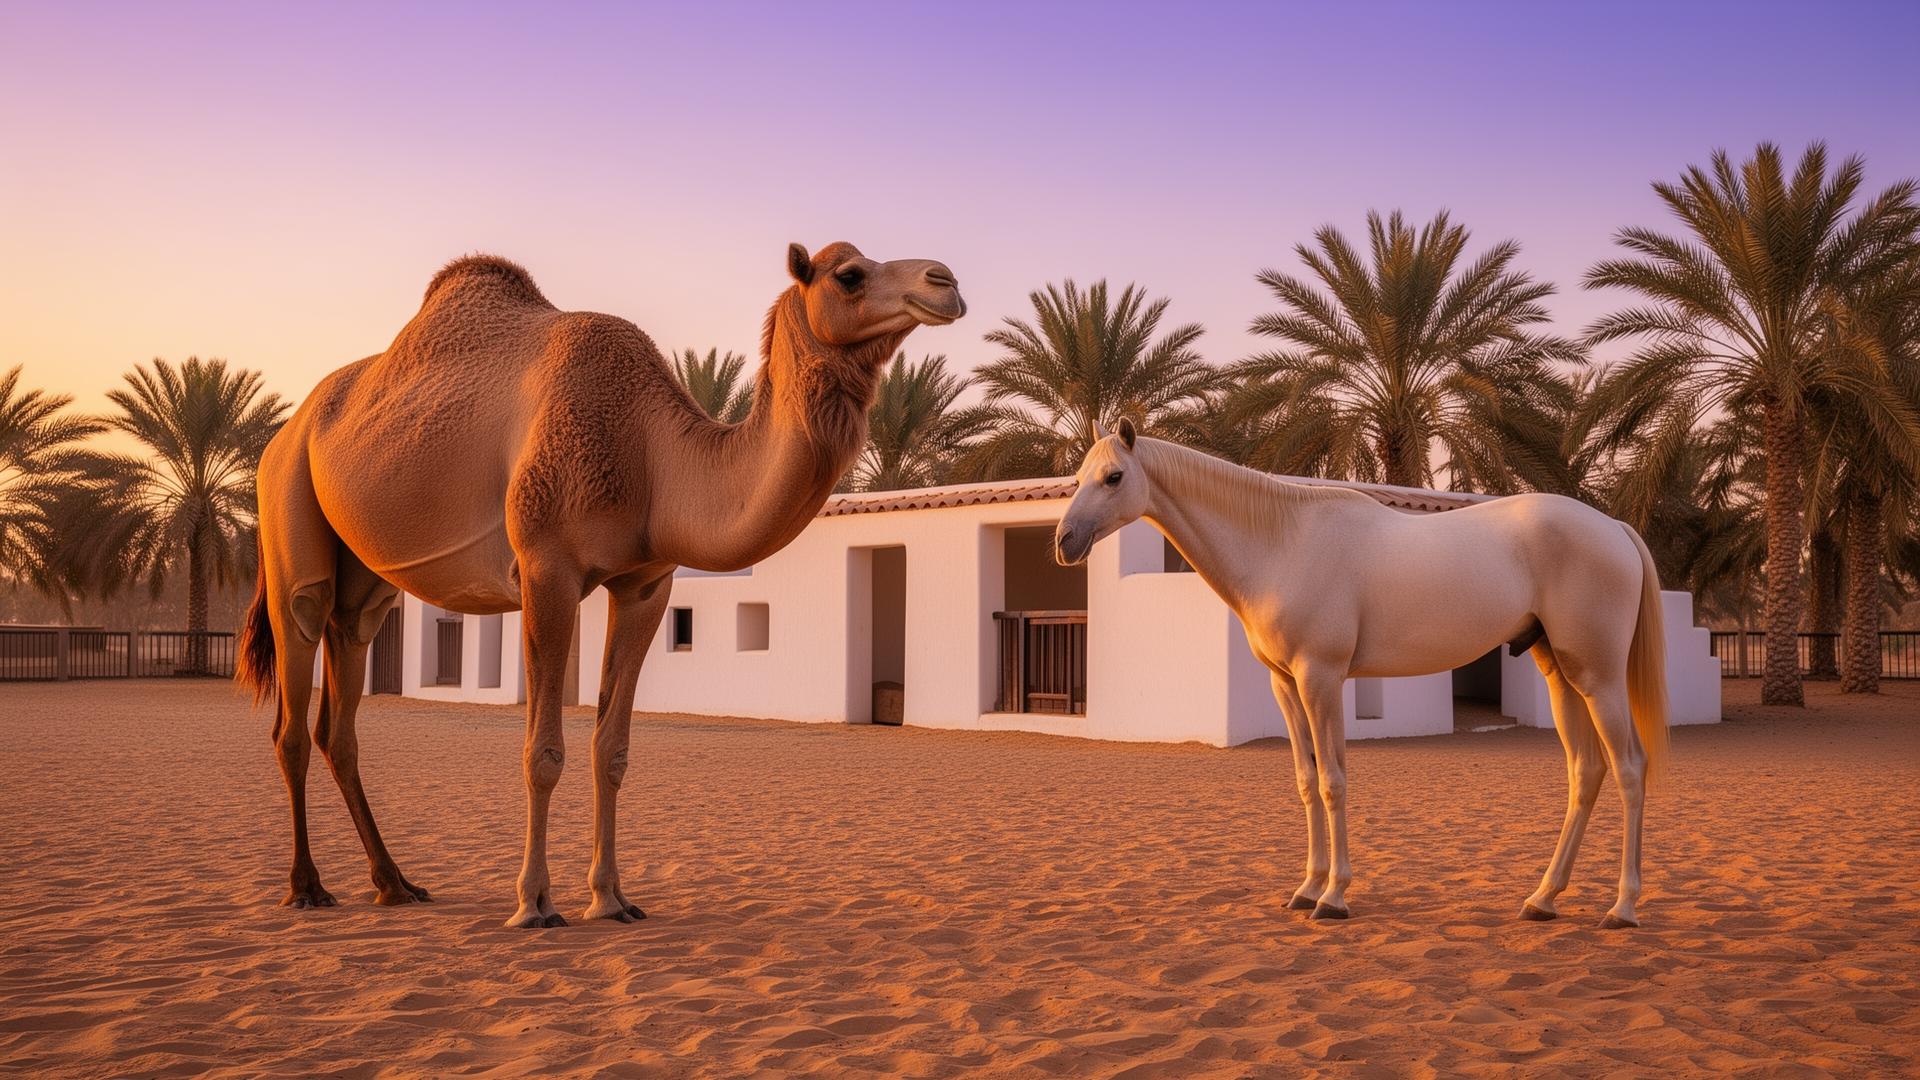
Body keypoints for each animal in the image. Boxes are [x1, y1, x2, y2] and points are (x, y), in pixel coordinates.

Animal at [237, 242, 964, 928]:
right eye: (849, 274)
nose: (946, 281)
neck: (654, 454)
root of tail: (286, 432)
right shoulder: (546, 567)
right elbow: (543, 751)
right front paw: (534, 903)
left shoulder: (645, 583)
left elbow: (610, 749)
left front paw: (612, 898)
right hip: (288, 511)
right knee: (294, 698)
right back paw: (307, 888)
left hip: (365, 582)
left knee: (342, 706)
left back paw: (395, 883)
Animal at [1054, 419, 1669, 928]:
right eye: (1078, 476)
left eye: (1114, 477)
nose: (1064, 542)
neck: (1283, 542)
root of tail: (1613, 528)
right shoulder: (1285, 684)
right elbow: (1306, 782)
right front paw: (1306, 888)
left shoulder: (1321, 679)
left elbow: (1333, 781)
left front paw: (1333, 897)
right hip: (1560, 675)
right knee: (1585, 771)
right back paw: (1543, 899)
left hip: (1599, 678)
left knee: (1630, 768)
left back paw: (1622, 907)